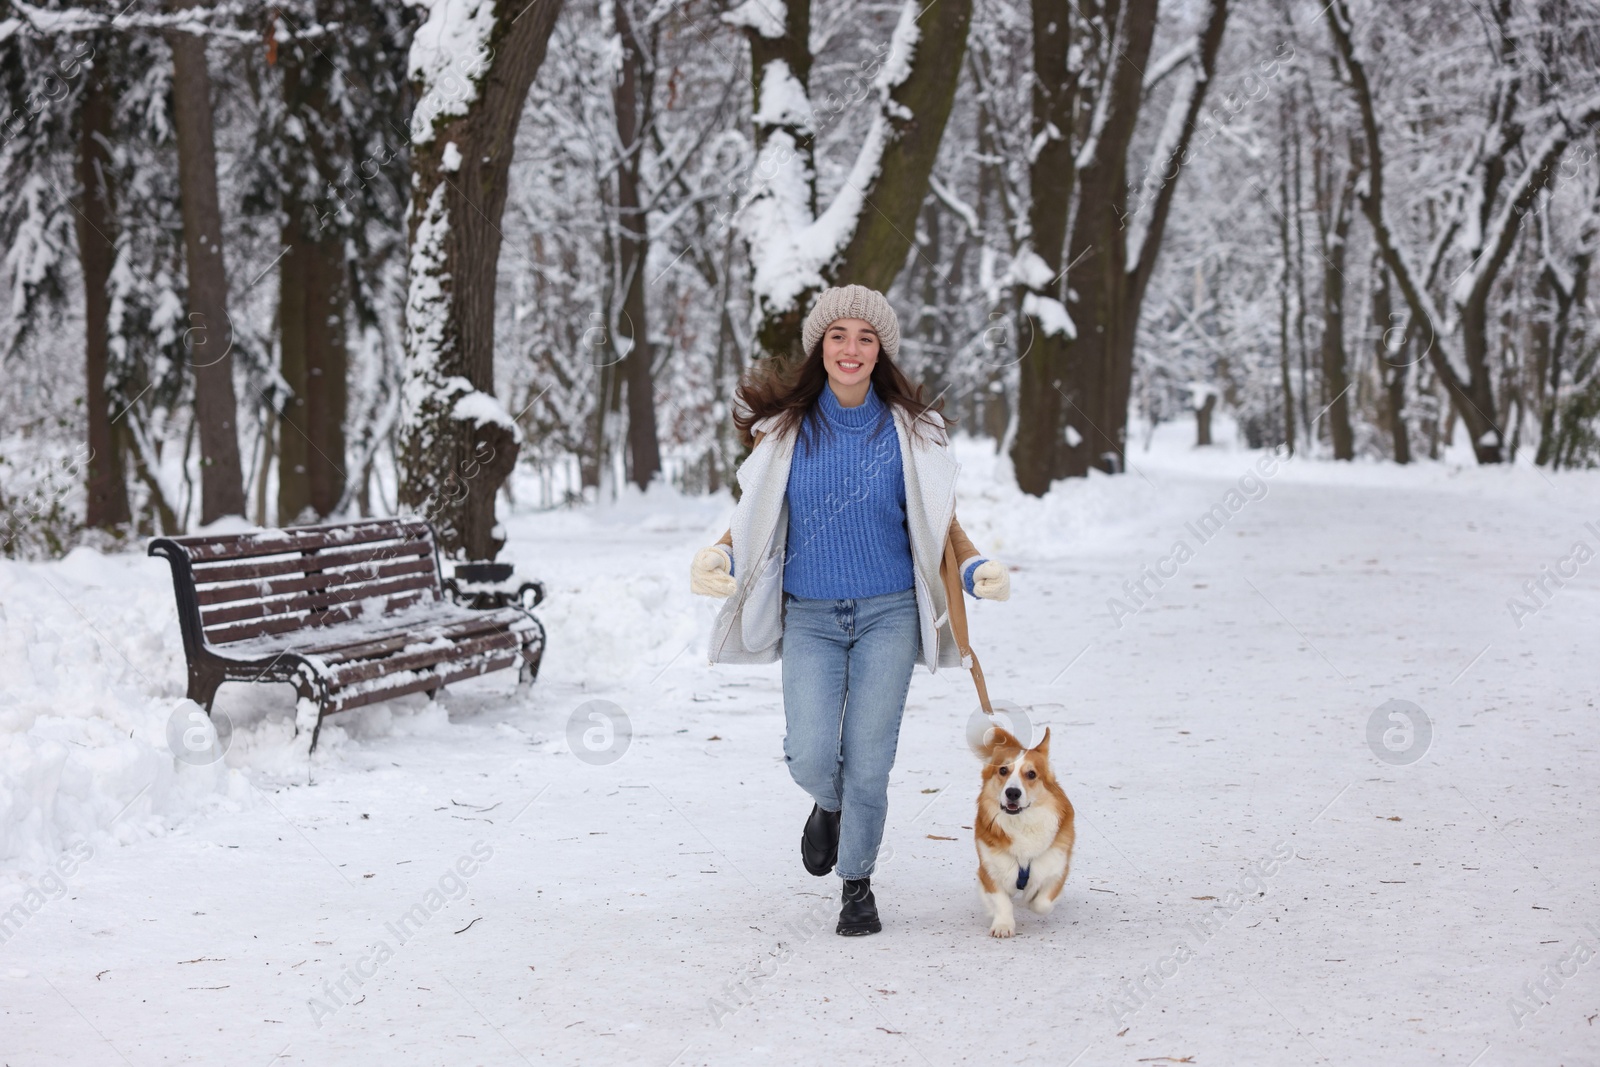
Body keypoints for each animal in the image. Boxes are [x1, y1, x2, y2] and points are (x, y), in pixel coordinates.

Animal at [972, 726, 1075, 934]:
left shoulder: (1057, 869)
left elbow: (1042, 902)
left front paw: (1030, 897)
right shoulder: (989, 871)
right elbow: (1001, 901)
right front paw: (1002, 924)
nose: (1012, 792)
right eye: (1003, 770)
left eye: (1032, 774)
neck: (1021, 822)